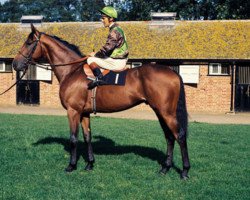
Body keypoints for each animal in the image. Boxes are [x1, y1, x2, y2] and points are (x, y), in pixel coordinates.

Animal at [12, 24, 189, 180]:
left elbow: (73, 138)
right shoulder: (84, 113)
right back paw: (165, 168)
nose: (15, 64)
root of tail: (172, 72)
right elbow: (87, 137)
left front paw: (71, 166)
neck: (73, 71)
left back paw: (185, 171)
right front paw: (89, 164)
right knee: (169, 137)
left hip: (166, 112)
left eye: (28, 42)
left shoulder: (73, 111)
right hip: (160, 111)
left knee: (179, 135)